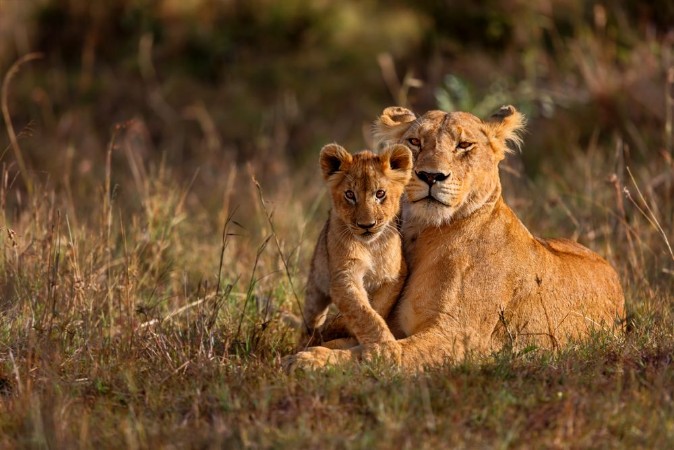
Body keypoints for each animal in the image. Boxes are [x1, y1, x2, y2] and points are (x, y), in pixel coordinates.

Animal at [299, 143, 413, 350]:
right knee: (311, 320)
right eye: (350, 195)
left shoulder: (395, 275)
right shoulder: (344, 276)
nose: (366, 225)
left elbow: (377, 307)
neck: (371, 246)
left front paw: (343, 327)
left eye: (380, 194)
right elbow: (363, 313)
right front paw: (385, 347)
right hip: (315, 287)